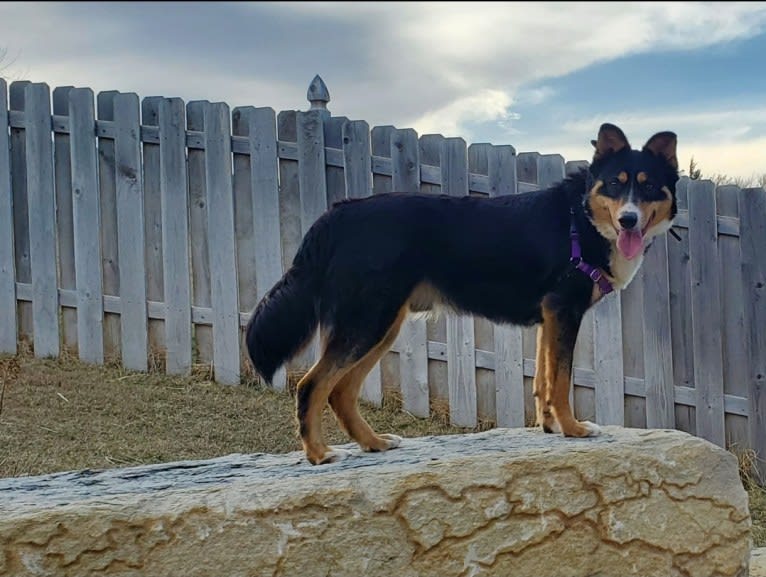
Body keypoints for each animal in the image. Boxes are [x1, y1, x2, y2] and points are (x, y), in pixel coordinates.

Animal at [246, 121, 680, 464]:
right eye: (615, 184)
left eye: (649, 188)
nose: (629, 220)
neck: (582, 217)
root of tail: (339, 212)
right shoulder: (565, 311)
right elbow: (560, 381)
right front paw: (573, 428)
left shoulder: (551, 318)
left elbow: (543, 380)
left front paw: (551, 427)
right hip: (368, 322)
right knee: (313, 385)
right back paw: (318, 454)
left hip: (380, 325)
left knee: (341, 392)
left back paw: (374, 443)